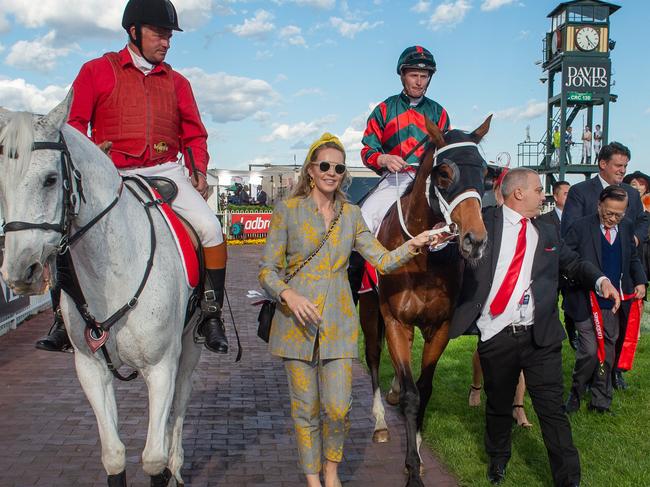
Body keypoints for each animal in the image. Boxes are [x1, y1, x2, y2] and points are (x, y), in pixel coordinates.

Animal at [0, 92, 200, 487]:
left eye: (50, 179)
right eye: (0, 181)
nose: (19, 271)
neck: (113, 270)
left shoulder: (161, 367)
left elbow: (153, 457)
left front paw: (166, 465)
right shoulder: (91, 369)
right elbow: (114, 455)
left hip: (189, 346)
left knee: (181, 405)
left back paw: (177, 463)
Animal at [356, 115, 488, 487]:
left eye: (485, 172)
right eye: (444, 173)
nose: (475, 240)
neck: (423, 259)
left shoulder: (439, 326)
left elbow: (424, 389)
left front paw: (415, 450)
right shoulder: (395, 322)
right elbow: (412, 394)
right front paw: (413, 470)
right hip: (369, 309)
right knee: (373, 357)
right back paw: (381, 422)